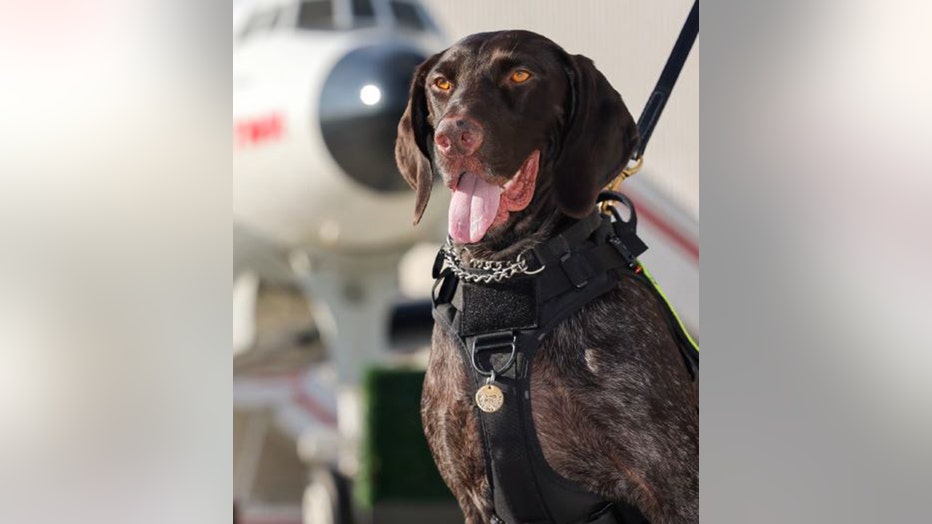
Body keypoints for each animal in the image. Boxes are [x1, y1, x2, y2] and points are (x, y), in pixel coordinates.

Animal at [396, 29, 700, 524]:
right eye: (441, 84)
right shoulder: (473, 498)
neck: (505, 272)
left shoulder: (677, 487)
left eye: (521, 75)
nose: (452, 136)